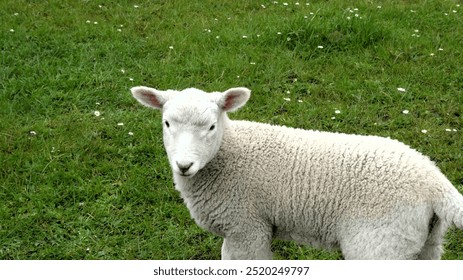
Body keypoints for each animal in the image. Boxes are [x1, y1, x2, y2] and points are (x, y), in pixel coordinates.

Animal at [131, 86, 463, 260]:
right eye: (167, 124)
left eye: (212, 126)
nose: (184, 165)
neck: (229, 153)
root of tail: (434, 181)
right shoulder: (243, 228)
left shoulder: (247, 226)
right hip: (425, 244)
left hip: (380, 243)